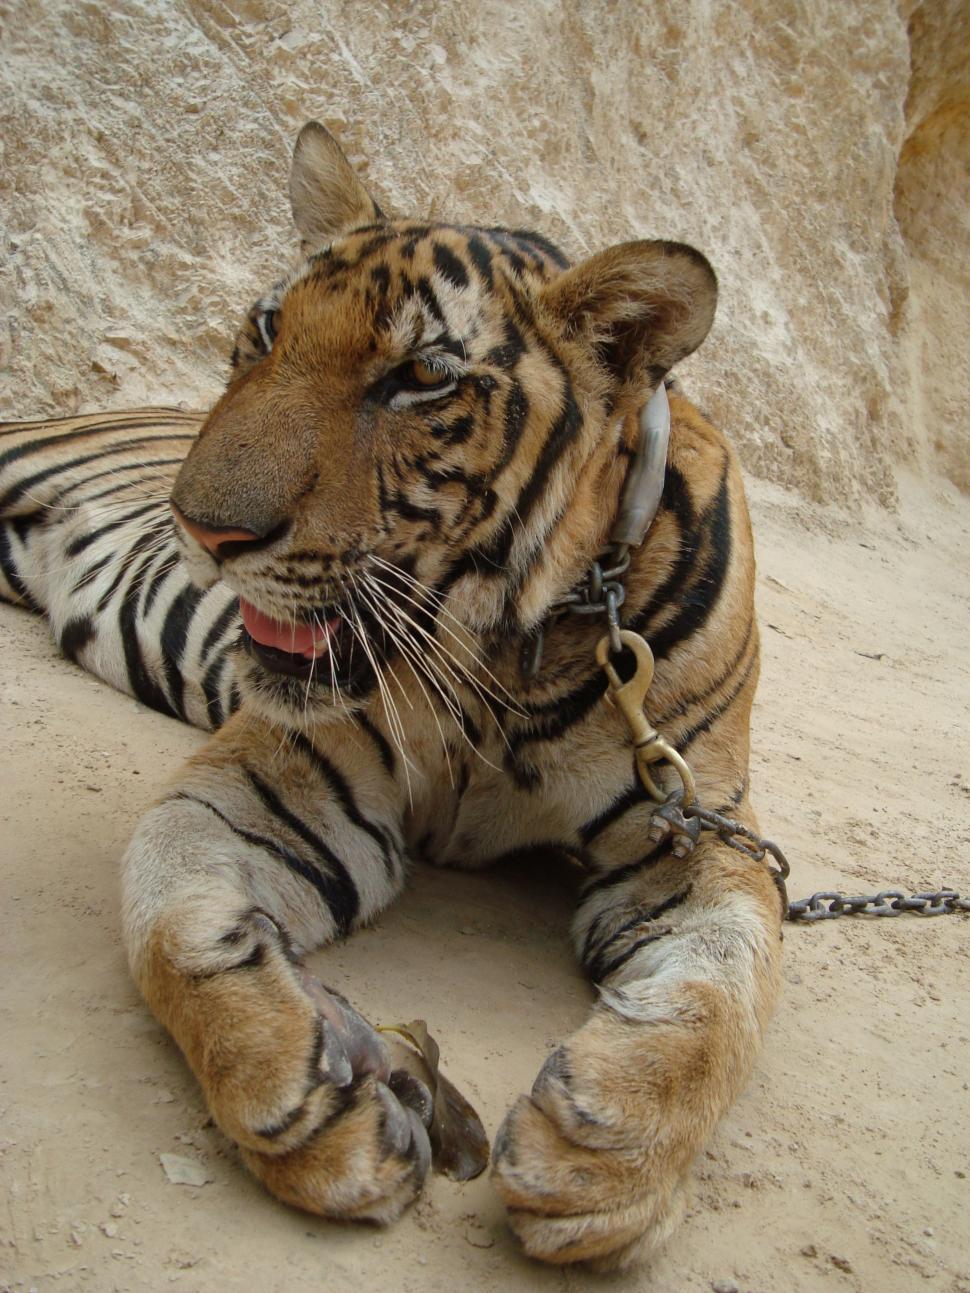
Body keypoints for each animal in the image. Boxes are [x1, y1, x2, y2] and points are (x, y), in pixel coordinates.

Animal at [0, 121, 782, 1270]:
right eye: (267, 329)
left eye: (418, 377)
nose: (202, 528)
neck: (499, 655)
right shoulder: (272, 791)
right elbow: (172, 922)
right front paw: (305, 1105)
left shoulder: (696, 835)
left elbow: (722, 996)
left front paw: (610, 1154)